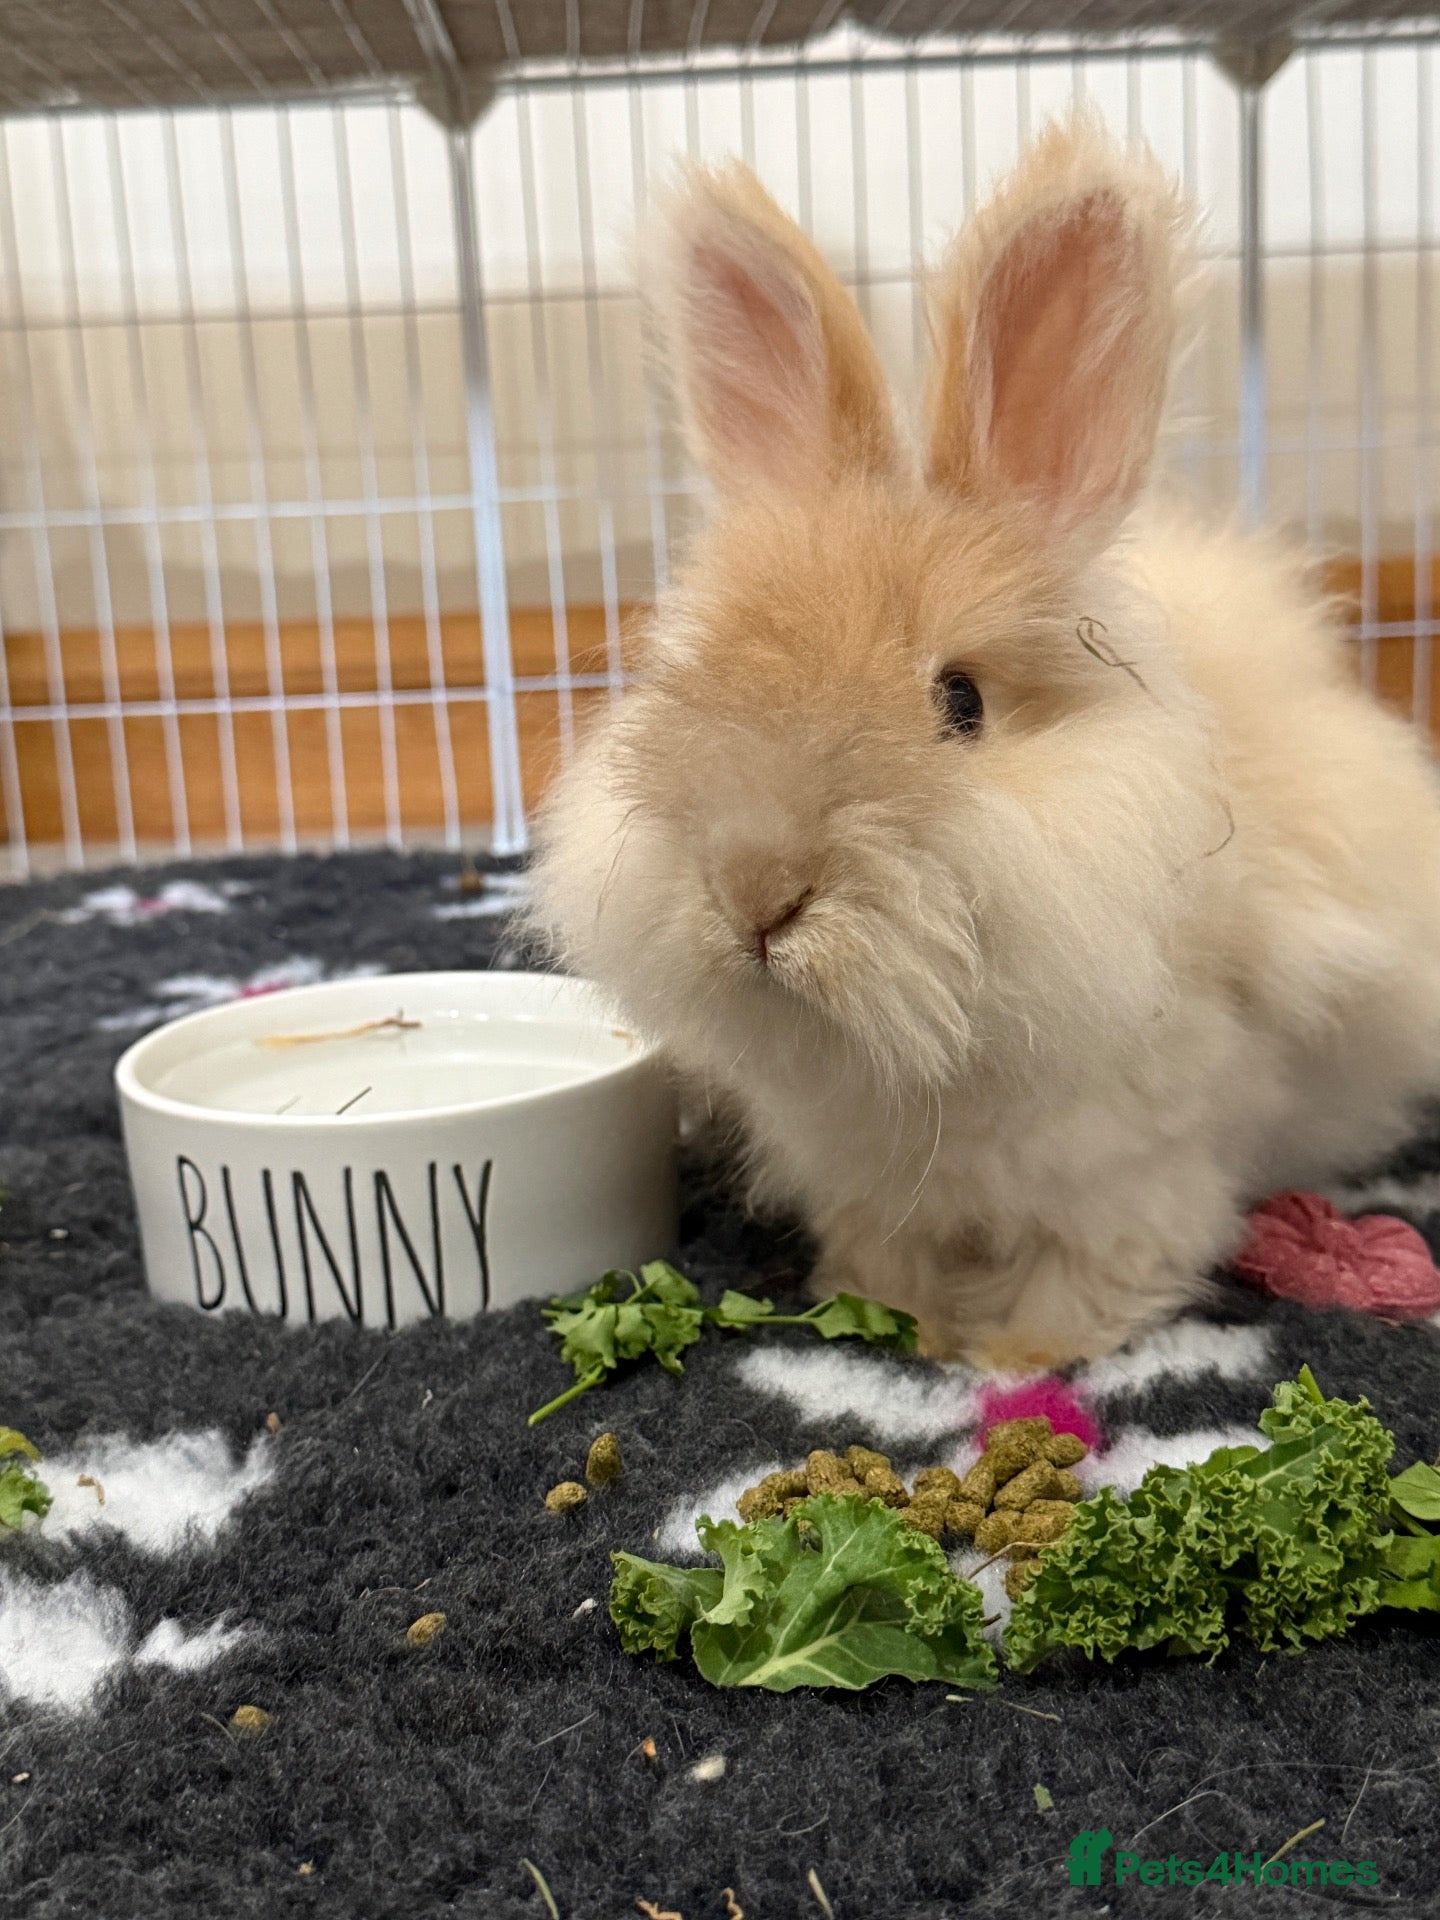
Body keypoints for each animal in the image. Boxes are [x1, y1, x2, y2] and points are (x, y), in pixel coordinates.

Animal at [530, 116, 1440, 1368]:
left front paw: (1017, 1358)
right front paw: (902, 1333)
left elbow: (1094, 1270)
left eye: (959, 702)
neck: (917, 1057)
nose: (756, 891)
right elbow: (889, 1262)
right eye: (697, 669)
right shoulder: (865, 1185)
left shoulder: (1134, 1173)